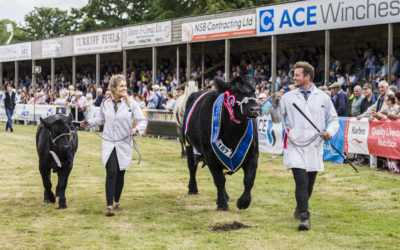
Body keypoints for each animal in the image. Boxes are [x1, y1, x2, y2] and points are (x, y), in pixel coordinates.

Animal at [184, 76, 260, 211]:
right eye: (236, 91)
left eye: (254, 91)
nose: (255, 109)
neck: (234, 134)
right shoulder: (210, 156)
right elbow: (219, 180)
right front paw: (223, 205)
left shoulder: (253, 155)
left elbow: (249, 180)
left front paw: (243, 202)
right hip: (188, 143)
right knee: (192, 167)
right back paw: (193, 188)